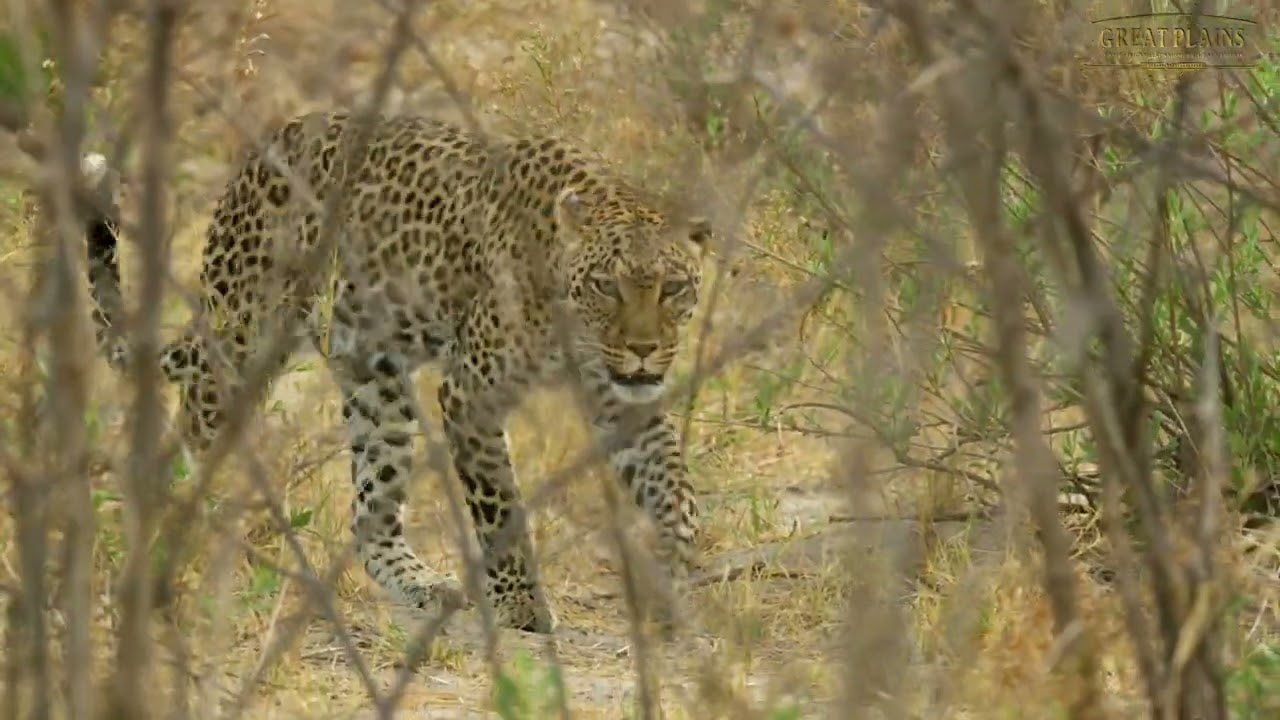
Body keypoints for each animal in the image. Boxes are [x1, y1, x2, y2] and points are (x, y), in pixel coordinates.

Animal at [79, 110, 712, 634]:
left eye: (674, 288)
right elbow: (500, 505)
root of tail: (257, 157)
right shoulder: (471, 393)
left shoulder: (622, 400)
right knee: (195, 425)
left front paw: (673, 578)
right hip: (241, 336)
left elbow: (676, 490)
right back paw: (195, 524)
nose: (642, 349)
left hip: (376, 384)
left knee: (369, 512)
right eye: (607, 286)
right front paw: (521, 604)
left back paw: (421, 581)